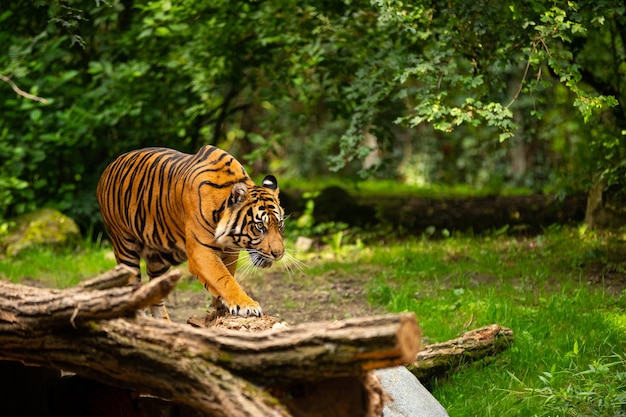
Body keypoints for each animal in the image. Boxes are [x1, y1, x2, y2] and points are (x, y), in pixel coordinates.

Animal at [95, 145, 286, 320]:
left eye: (280, 225)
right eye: (259, 226)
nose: (278, 254)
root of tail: (109, 167)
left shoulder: (231, 251)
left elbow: (228, 274)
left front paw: (220, 305)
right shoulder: (201, 252)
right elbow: (224, 278)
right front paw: (246, 305)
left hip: (158, 258)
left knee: (155, 296)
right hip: (125, 248)